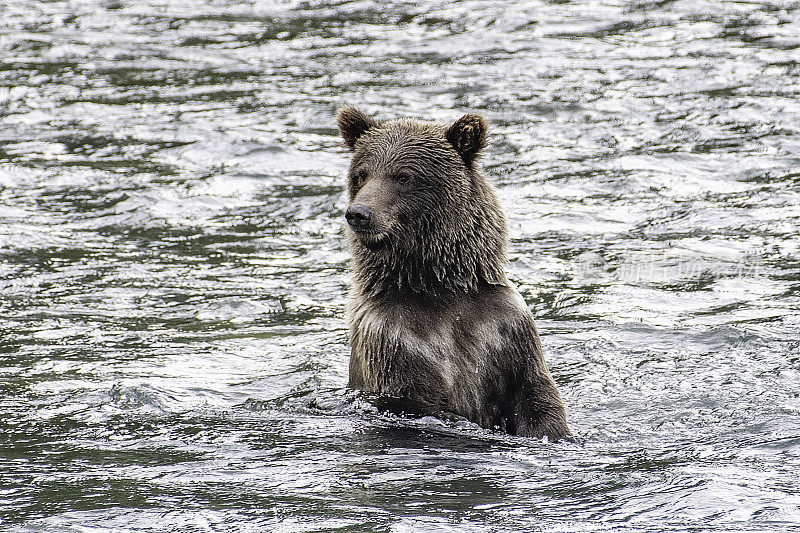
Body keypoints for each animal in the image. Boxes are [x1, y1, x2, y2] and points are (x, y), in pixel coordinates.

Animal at [334, 106, 572, 438]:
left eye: (403, 176)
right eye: (361, 174)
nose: (359, 213)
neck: (438, 286)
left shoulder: (505, 330)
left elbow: (535, 394)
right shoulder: (393, 341)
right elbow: (419, 403)